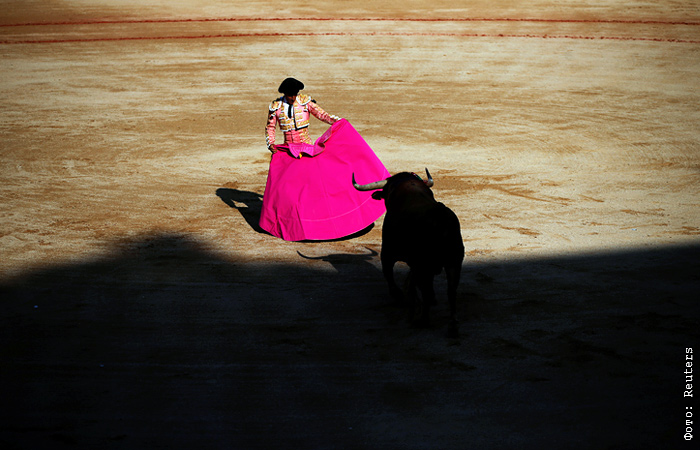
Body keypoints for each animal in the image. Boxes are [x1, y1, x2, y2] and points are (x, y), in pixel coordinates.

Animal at [353, 169, 465, 338]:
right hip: (454, 263)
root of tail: (441, 220)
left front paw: (399, 297)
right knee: (451, 291)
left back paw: (423, 320)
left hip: (426, 264)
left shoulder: (388, 253)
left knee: (427, 290)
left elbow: (389, 275)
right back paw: (452, 324)